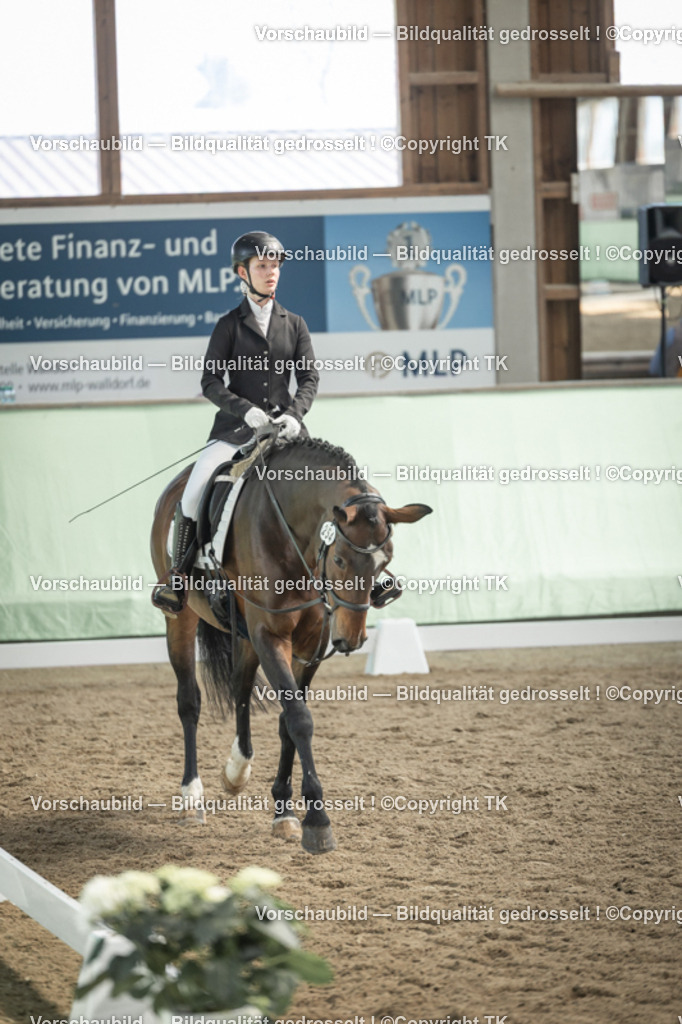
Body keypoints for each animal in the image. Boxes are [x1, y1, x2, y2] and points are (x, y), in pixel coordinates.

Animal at [150, 434, 432, 854]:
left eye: (385, 562)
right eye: (341, 560)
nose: (351, 639)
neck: (291, 535)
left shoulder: (309, 646)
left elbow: (287, 721)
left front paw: (284, 812)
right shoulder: (270, 636)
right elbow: (299, 718)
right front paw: (318, 821)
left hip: (246, 638)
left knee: (240, 687)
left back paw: (237, 769)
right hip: (182, 619)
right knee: (189, 701)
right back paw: (191, 797)